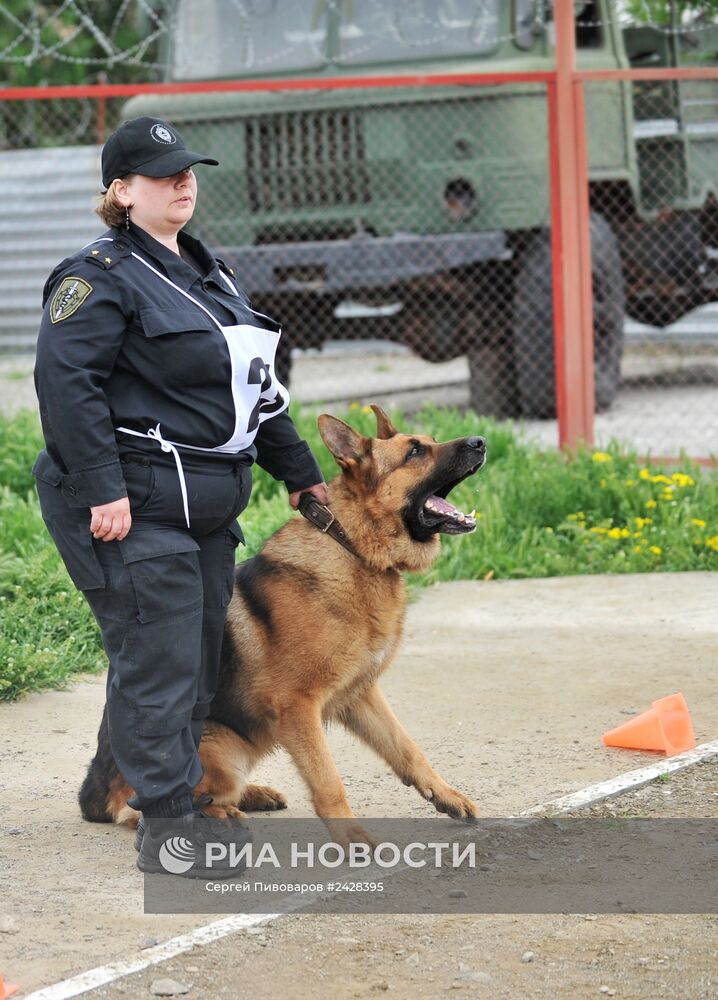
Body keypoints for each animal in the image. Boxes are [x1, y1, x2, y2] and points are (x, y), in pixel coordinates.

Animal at [79, 406, 486, 844]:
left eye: (428, 442)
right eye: (414, 452)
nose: (480, 441)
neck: (351, 546)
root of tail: (95, 796)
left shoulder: (361, 695)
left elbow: (407, 749)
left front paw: (445, 795)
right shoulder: (298, 707)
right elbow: (328, 780)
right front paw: (353, 840)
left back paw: (253, 796)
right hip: (223, 750)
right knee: (138, 809)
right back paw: (218, 815)